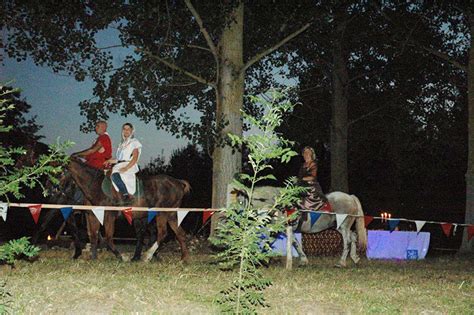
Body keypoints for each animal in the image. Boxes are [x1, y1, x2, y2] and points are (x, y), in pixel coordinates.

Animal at [228, 185, 368, 270]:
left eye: (241, 202)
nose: (237, 220)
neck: (279, 204)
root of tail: (350, 197)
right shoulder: (287, 230)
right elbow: (296, 243)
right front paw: (303, 260)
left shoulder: (280, 229)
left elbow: (270, 242)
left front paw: (260, 259)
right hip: (339, 226)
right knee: (353, 237)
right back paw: (355, 258)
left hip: (343, 226)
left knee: (347, 242)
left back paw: (341, 262)